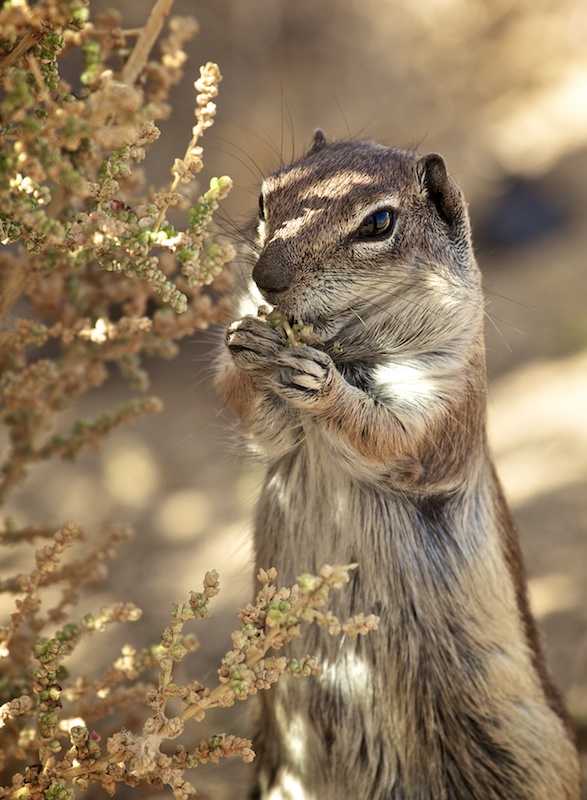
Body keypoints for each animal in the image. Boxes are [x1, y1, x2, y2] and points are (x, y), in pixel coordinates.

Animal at [214, 133, 580, 800]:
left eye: (379, 223)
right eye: (264, 197)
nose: (265, 278)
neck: (346, 344)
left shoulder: (446, 399)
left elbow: (396, 439)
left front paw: (323, 387)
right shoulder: (279, 438)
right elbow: (265, 427)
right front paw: (250, 345)